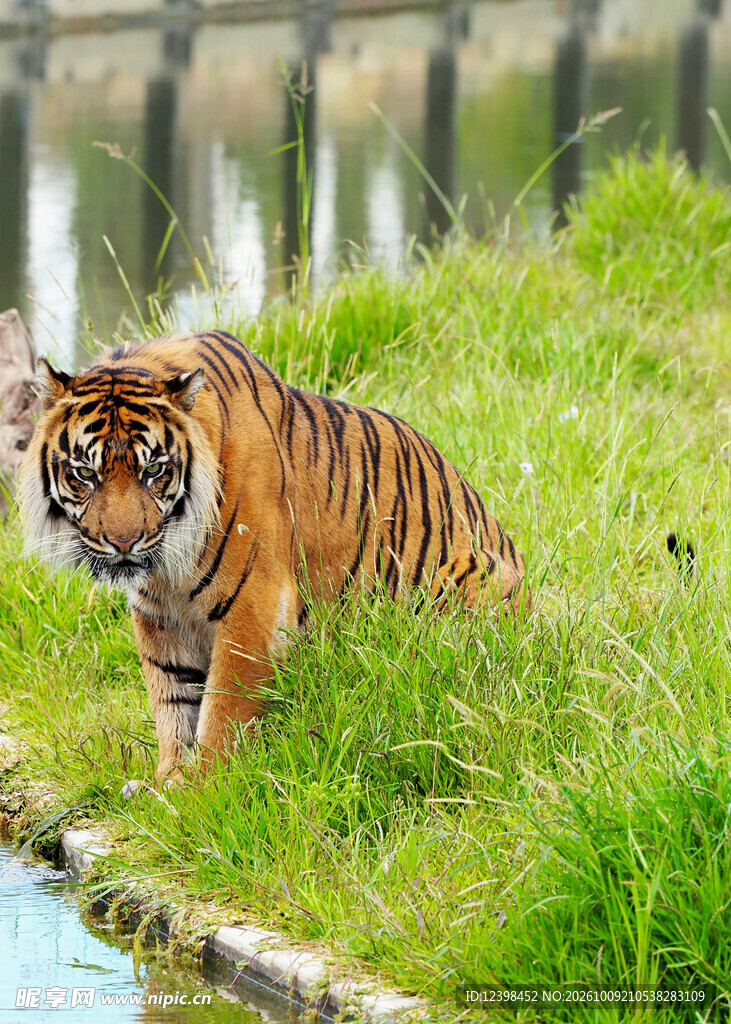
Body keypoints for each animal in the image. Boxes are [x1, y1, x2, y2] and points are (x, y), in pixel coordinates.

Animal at [19, 330, 530, 784]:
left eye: (155, 470)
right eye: (85, 473)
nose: (124, 542)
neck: (168, 567)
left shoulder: (254, 602)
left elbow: (224, 704)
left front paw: (204, 786)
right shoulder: (160, 616)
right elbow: (172, 702)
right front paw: (168, 780)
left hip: (461, 579)